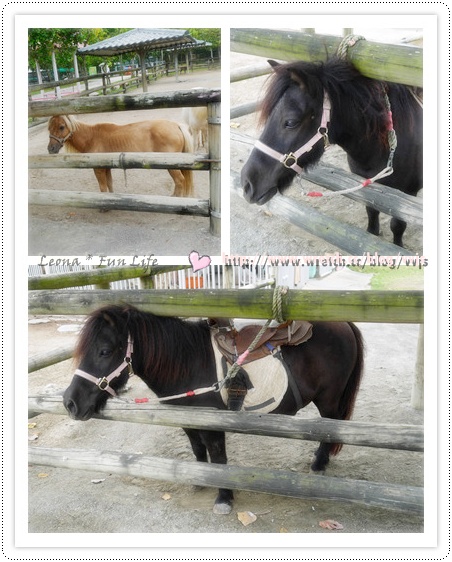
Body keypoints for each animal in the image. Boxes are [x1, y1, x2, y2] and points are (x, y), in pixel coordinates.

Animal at [47, 115, 194, 197]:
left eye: (61, 127)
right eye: (49, 128)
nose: (51, 149)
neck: (92, 137)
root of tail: (176, 126)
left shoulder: (98, 170)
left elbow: (102, 187)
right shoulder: (106, 168)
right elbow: (109, 184)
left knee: (180, 180)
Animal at [63, 303, 365, 515]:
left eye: (104, 351)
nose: (70, 403)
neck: (188, 362)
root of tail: (344, 324)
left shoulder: (213, 424)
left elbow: (219, 459)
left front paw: (224, 497)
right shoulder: (188, 421)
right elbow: (198, 451)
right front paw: (199, 479)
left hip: (328, 399)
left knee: (332, 427)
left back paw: (319, 464)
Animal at [240, 58, 423, 247]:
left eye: (290, 122)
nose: (247, 183)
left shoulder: (407, 194)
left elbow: (397, 225)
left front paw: (398, 246)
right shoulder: (369, 186)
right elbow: (372, 214)